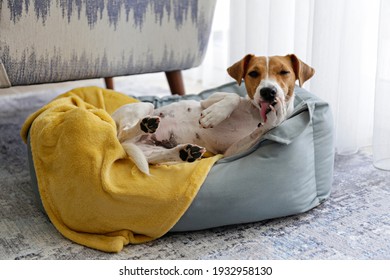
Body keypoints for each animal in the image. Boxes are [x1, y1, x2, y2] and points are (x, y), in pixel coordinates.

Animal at [111, 53, 316, 174]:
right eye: (253, 73)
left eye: (284, 72)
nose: (268, 92)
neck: (256, 114)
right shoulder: (209, 100)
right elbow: (233, 96)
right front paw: (214, 116)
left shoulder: (232, 150)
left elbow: (263, 128)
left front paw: (275, 117)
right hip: (143, 108)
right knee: (124, 132)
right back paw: (145, 125)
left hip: (151, 149)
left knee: (158, 156)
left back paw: (184, 152)